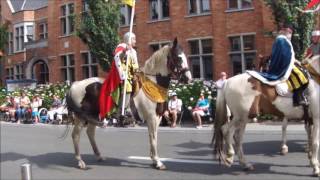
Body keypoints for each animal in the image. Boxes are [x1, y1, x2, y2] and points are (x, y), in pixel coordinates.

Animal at [63, 38, 191, 170]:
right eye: (178, 57)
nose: (188, 78)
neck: (153, 84)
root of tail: (74, 84)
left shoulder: (158, 117)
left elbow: (153, 136)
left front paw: (154, 160)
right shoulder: (152, 117)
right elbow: (153, 138)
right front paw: (158, 162)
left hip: (94, 115)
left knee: (90, 133)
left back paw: (99, 156)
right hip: (81, 117)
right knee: (76, 135)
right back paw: (80, 161)